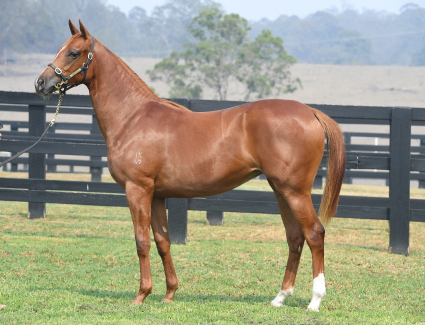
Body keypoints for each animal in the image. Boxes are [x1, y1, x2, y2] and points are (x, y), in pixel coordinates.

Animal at [33, 20, 344, 312]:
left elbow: (142, 241)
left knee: (315, 234)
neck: (133, 117)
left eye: (73, 53)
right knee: (295, 237)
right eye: (60, 48)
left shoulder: (137, 190)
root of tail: (310, 112)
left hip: (295, 192)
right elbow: (163, 242)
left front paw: (141, 295)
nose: (41, 83)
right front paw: (169, 293)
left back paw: (315, 300)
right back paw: (280, 297)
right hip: (281, 190)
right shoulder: (157, 195)